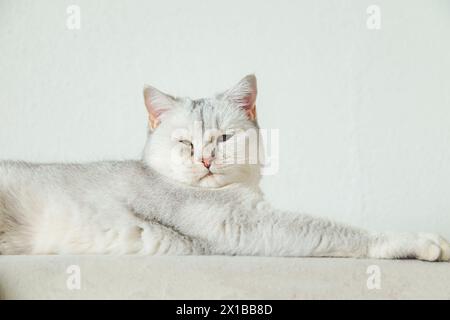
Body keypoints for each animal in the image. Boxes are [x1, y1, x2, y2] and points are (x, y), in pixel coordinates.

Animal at [0, 75, 448, 260]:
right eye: (186, 142)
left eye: (224, 139)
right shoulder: (244, 224)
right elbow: (344, 231)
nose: (205, 158)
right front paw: (416, 241)